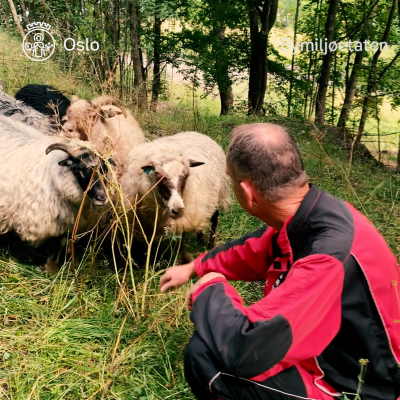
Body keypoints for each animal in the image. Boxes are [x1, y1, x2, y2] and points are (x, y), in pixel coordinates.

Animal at [0, 115, 112, 272]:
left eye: (104, 171)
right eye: (80, 170)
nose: (102, 198)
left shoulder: (65, 218)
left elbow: (61, 241)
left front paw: (51, 268)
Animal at [120, 130, 230, 258]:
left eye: (186, 176)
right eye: (159, 177)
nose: (178, 209)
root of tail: (197, 132)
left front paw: (178, 256)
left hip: (218, 194)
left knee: (214, 217)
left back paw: (210, 244)